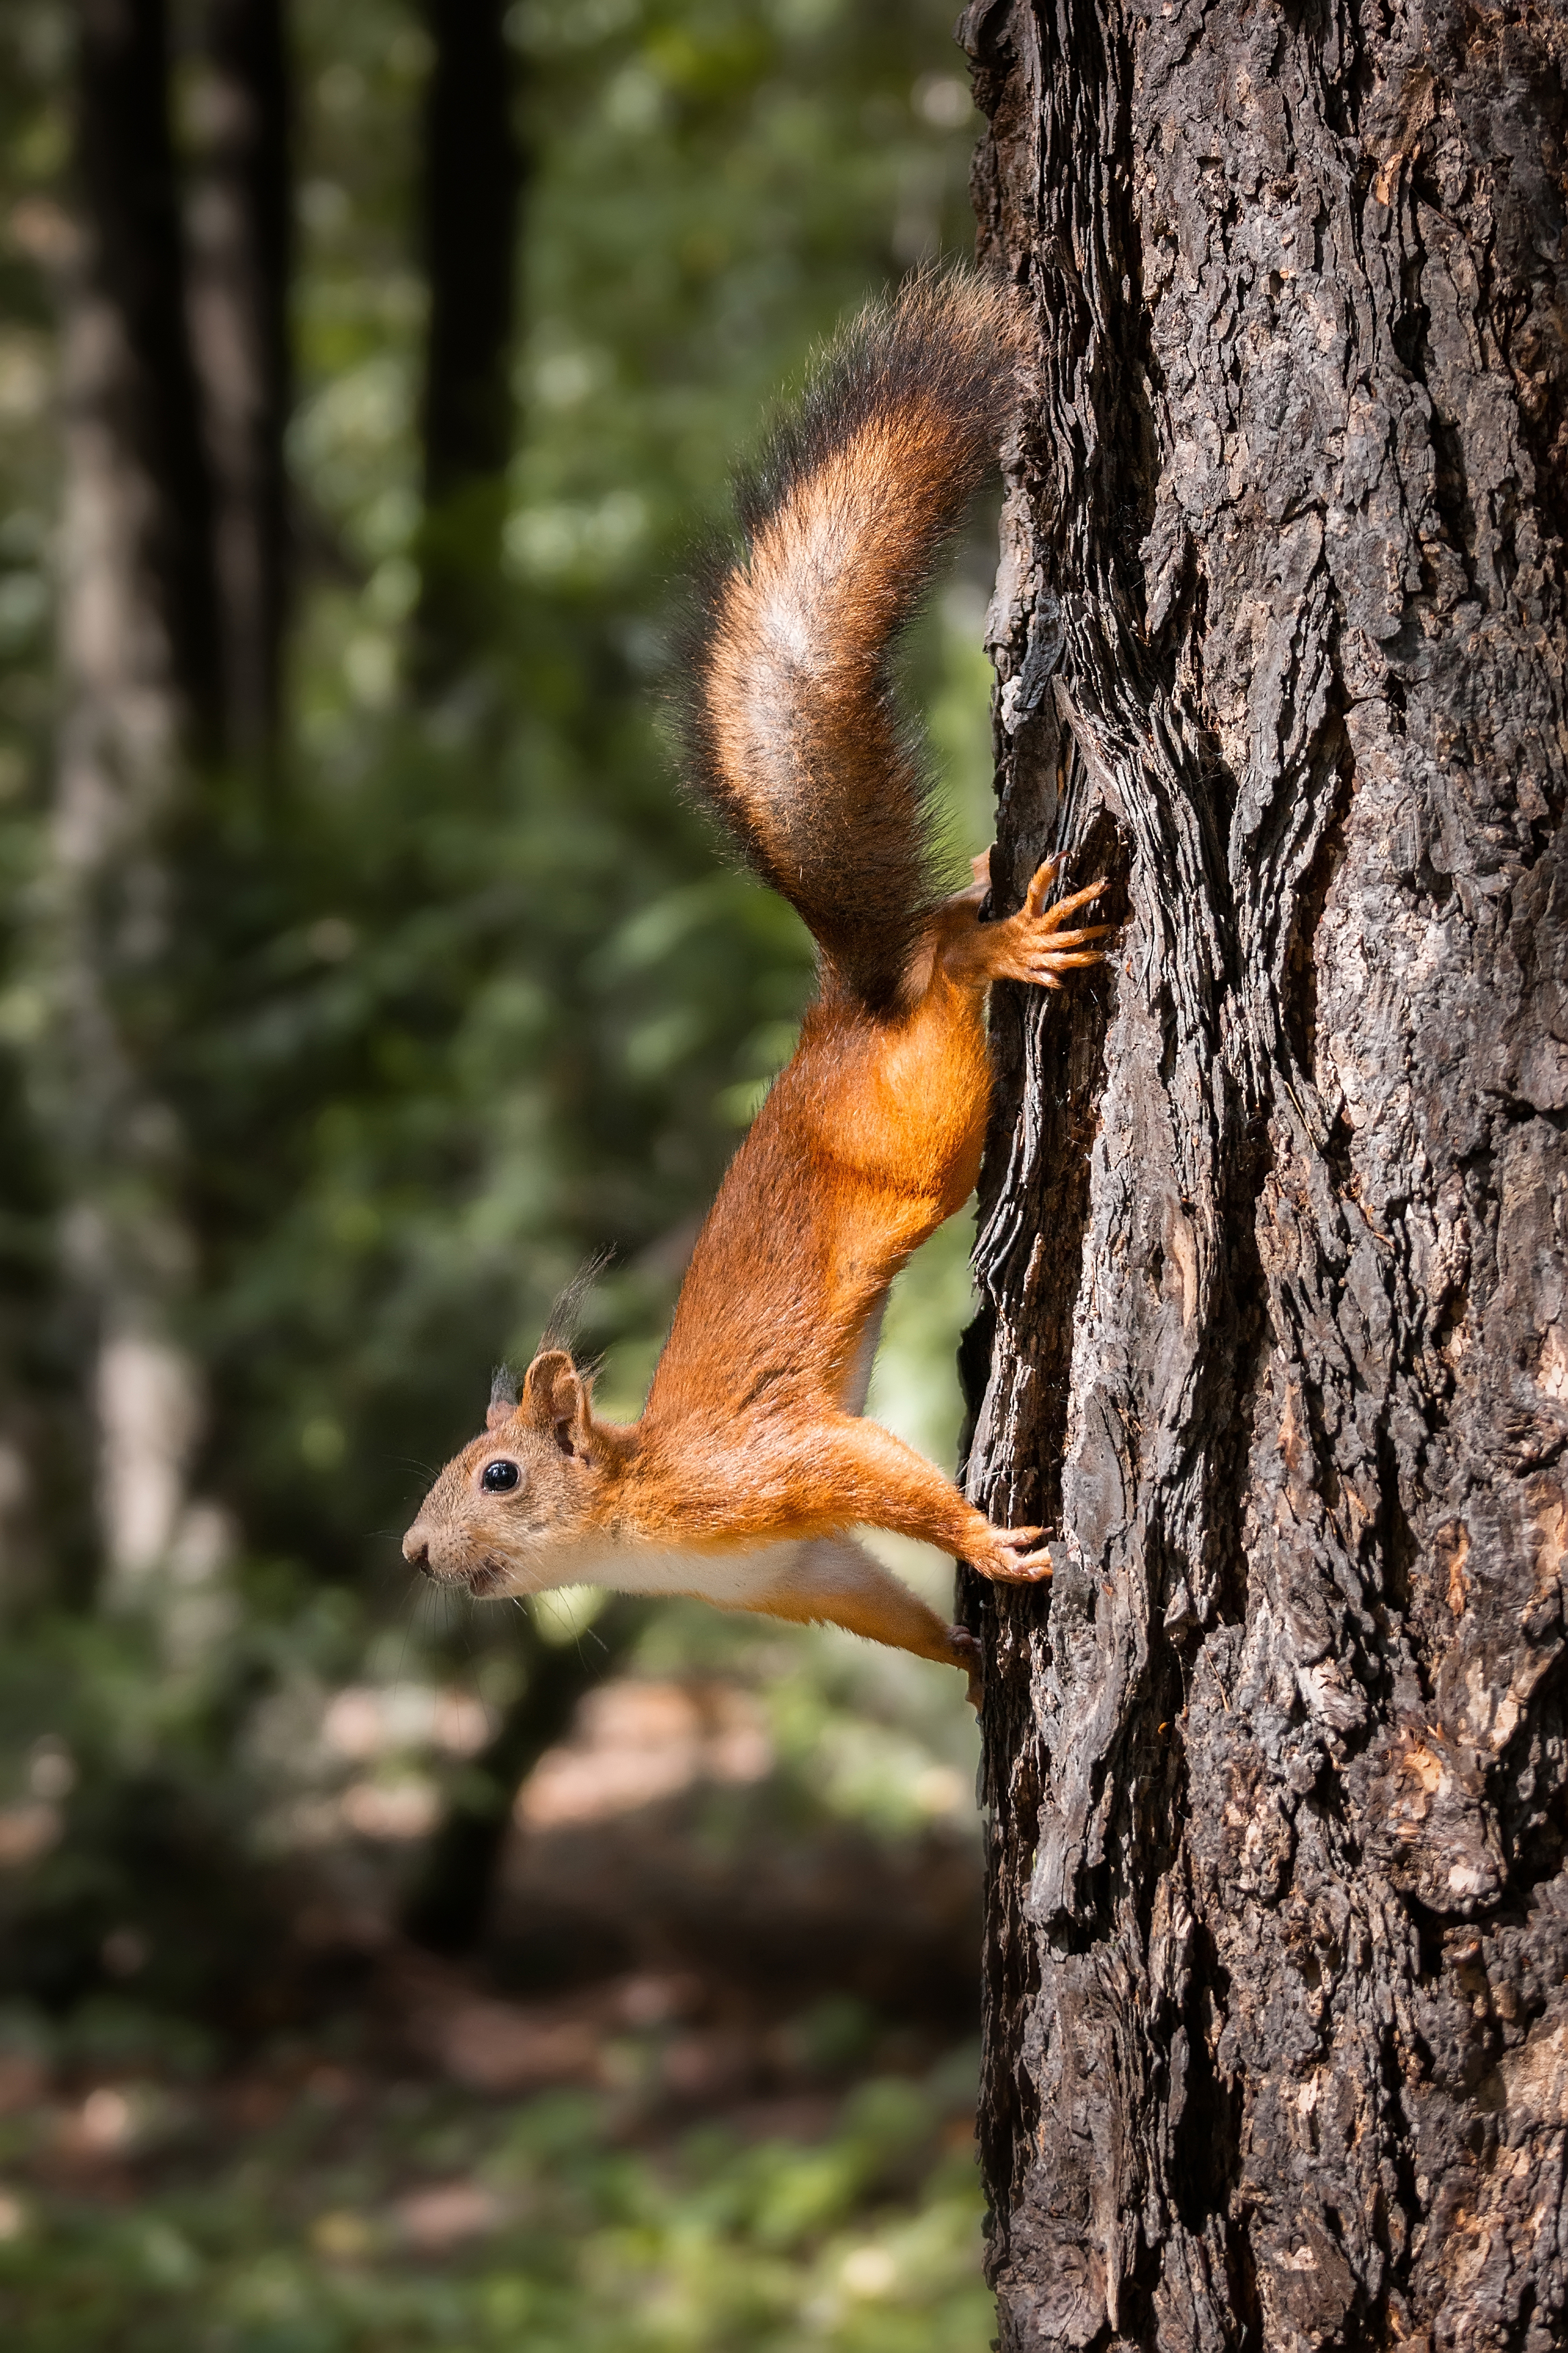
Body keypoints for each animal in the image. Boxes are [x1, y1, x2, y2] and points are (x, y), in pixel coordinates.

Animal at [404, 275, 1104, 1704]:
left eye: (495, 1475)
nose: (412, 1554)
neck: (636, 1521)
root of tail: (848, 995)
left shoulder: (769, 1469)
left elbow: (879, 1473)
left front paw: (988, 1545)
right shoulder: (795, 1571)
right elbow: (879, 1601)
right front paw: (963, 1659)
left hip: (926, 1115)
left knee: (944, 967)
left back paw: (994, 946)